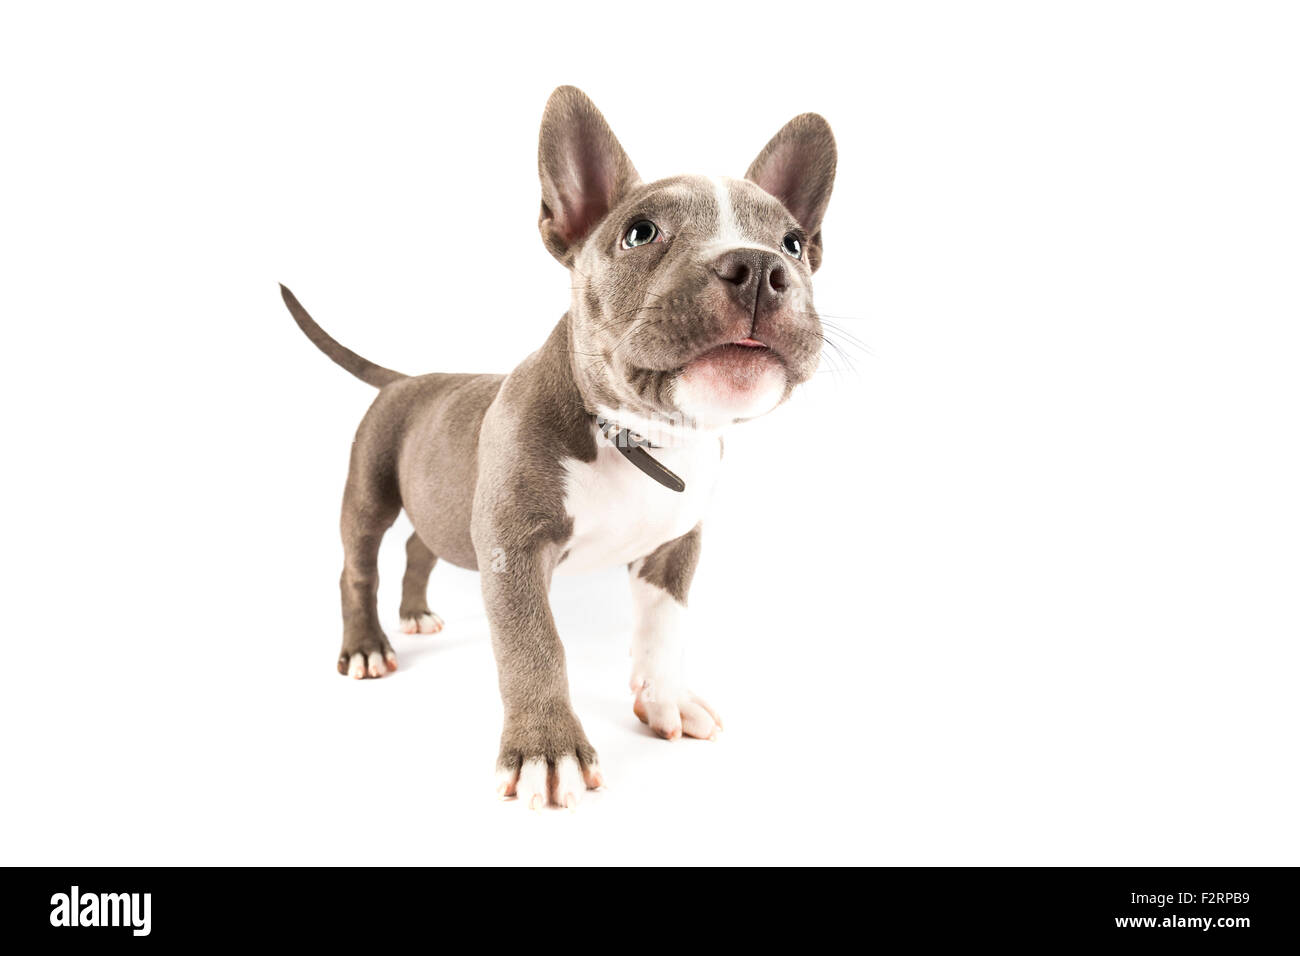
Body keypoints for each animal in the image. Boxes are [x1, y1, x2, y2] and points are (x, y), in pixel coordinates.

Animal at [279, 87, 837, 806]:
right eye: (640, 233)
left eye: (793, 243)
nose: (761, 267)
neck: (642, 433)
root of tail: (407, 379)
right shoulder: (513, 549)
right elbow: (536, 647)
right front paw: (547, 751)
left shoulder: (675, 549)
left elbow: (664, 628)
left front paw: (666, 699)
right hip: (369, 489)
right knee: (359, 563)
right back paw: (367, 646)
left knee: (420, 545)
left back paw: (416, 614)